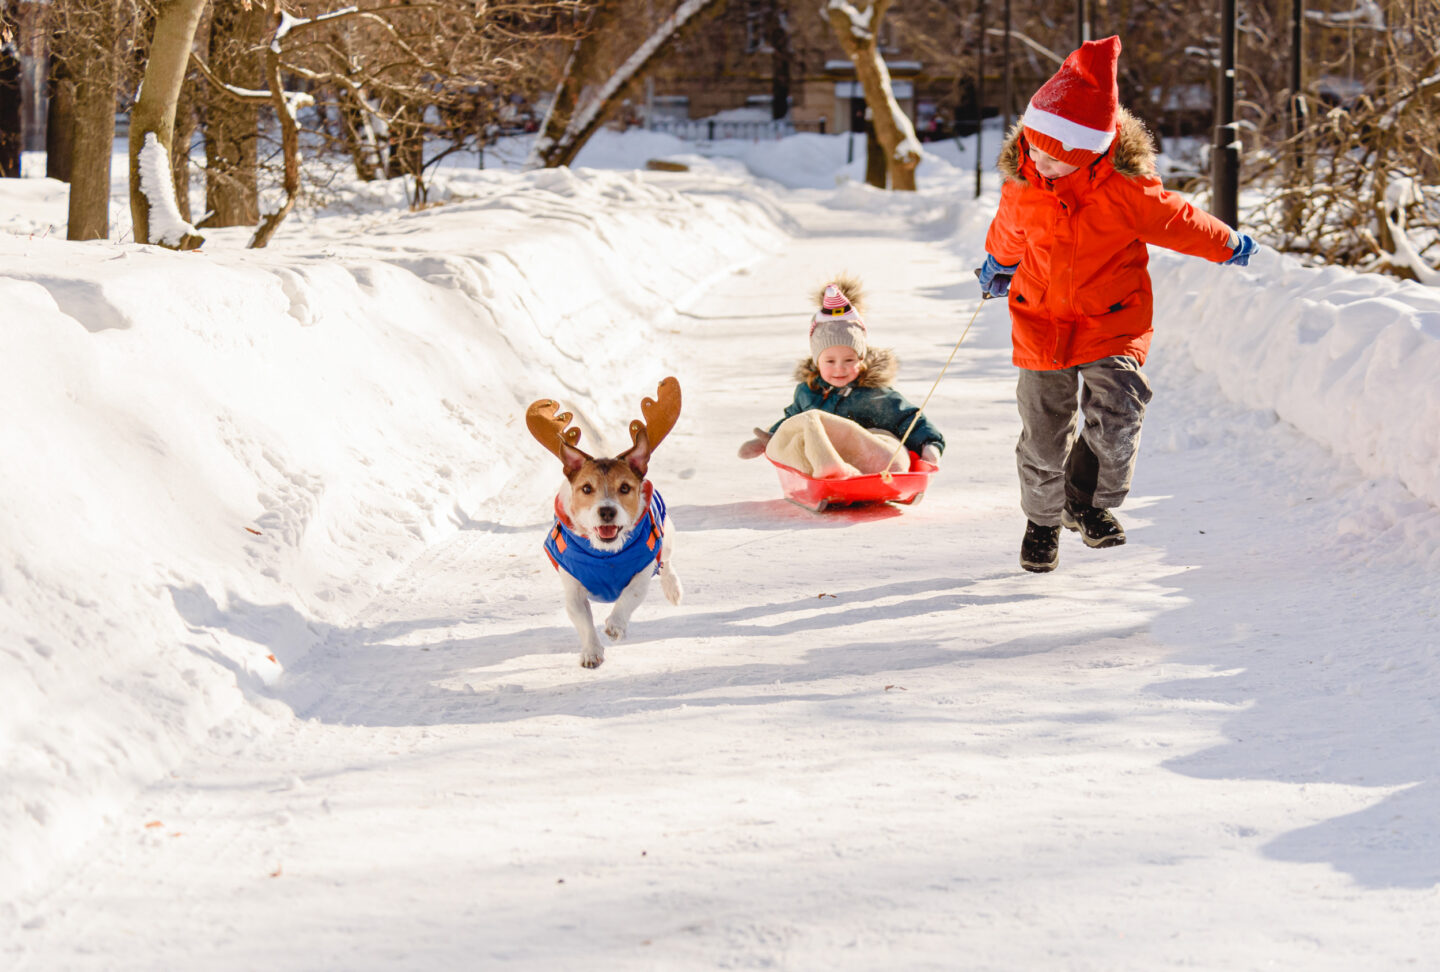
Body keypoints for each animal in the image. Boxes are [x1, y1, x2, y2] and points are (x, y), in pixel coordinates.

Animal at [529, 380, 685, 668]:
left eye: (624, 488)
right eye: (586, 488)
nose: (606, 511)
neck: (606, 555)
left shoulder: (643, 569)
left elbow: (631, 595)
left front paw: (615, 626)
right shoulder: (573, 587)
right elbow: (582, 619)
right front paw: (592, 652)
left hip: (667, 535)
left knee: (667, 562)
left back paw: (673, 589)